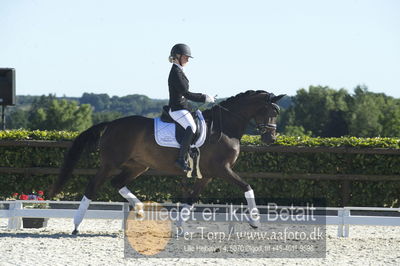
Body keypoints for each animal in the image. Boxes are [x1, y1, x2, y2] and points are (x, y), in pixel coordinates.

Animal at [50, 90, 286, 234]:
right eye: (271, 111)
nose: (270, 139)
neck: (225, 127)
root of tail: (112, 124)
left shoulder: (207, 175)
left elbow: (191, 199)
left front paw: (181, 227)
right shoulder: (222, 169)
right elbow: (247, 187)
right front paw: (255, 221)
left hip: (138, 165)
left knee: (118, 183)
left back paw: (141, 210)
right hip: (111, 164)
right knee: (93, 187)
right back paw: (76, 225)